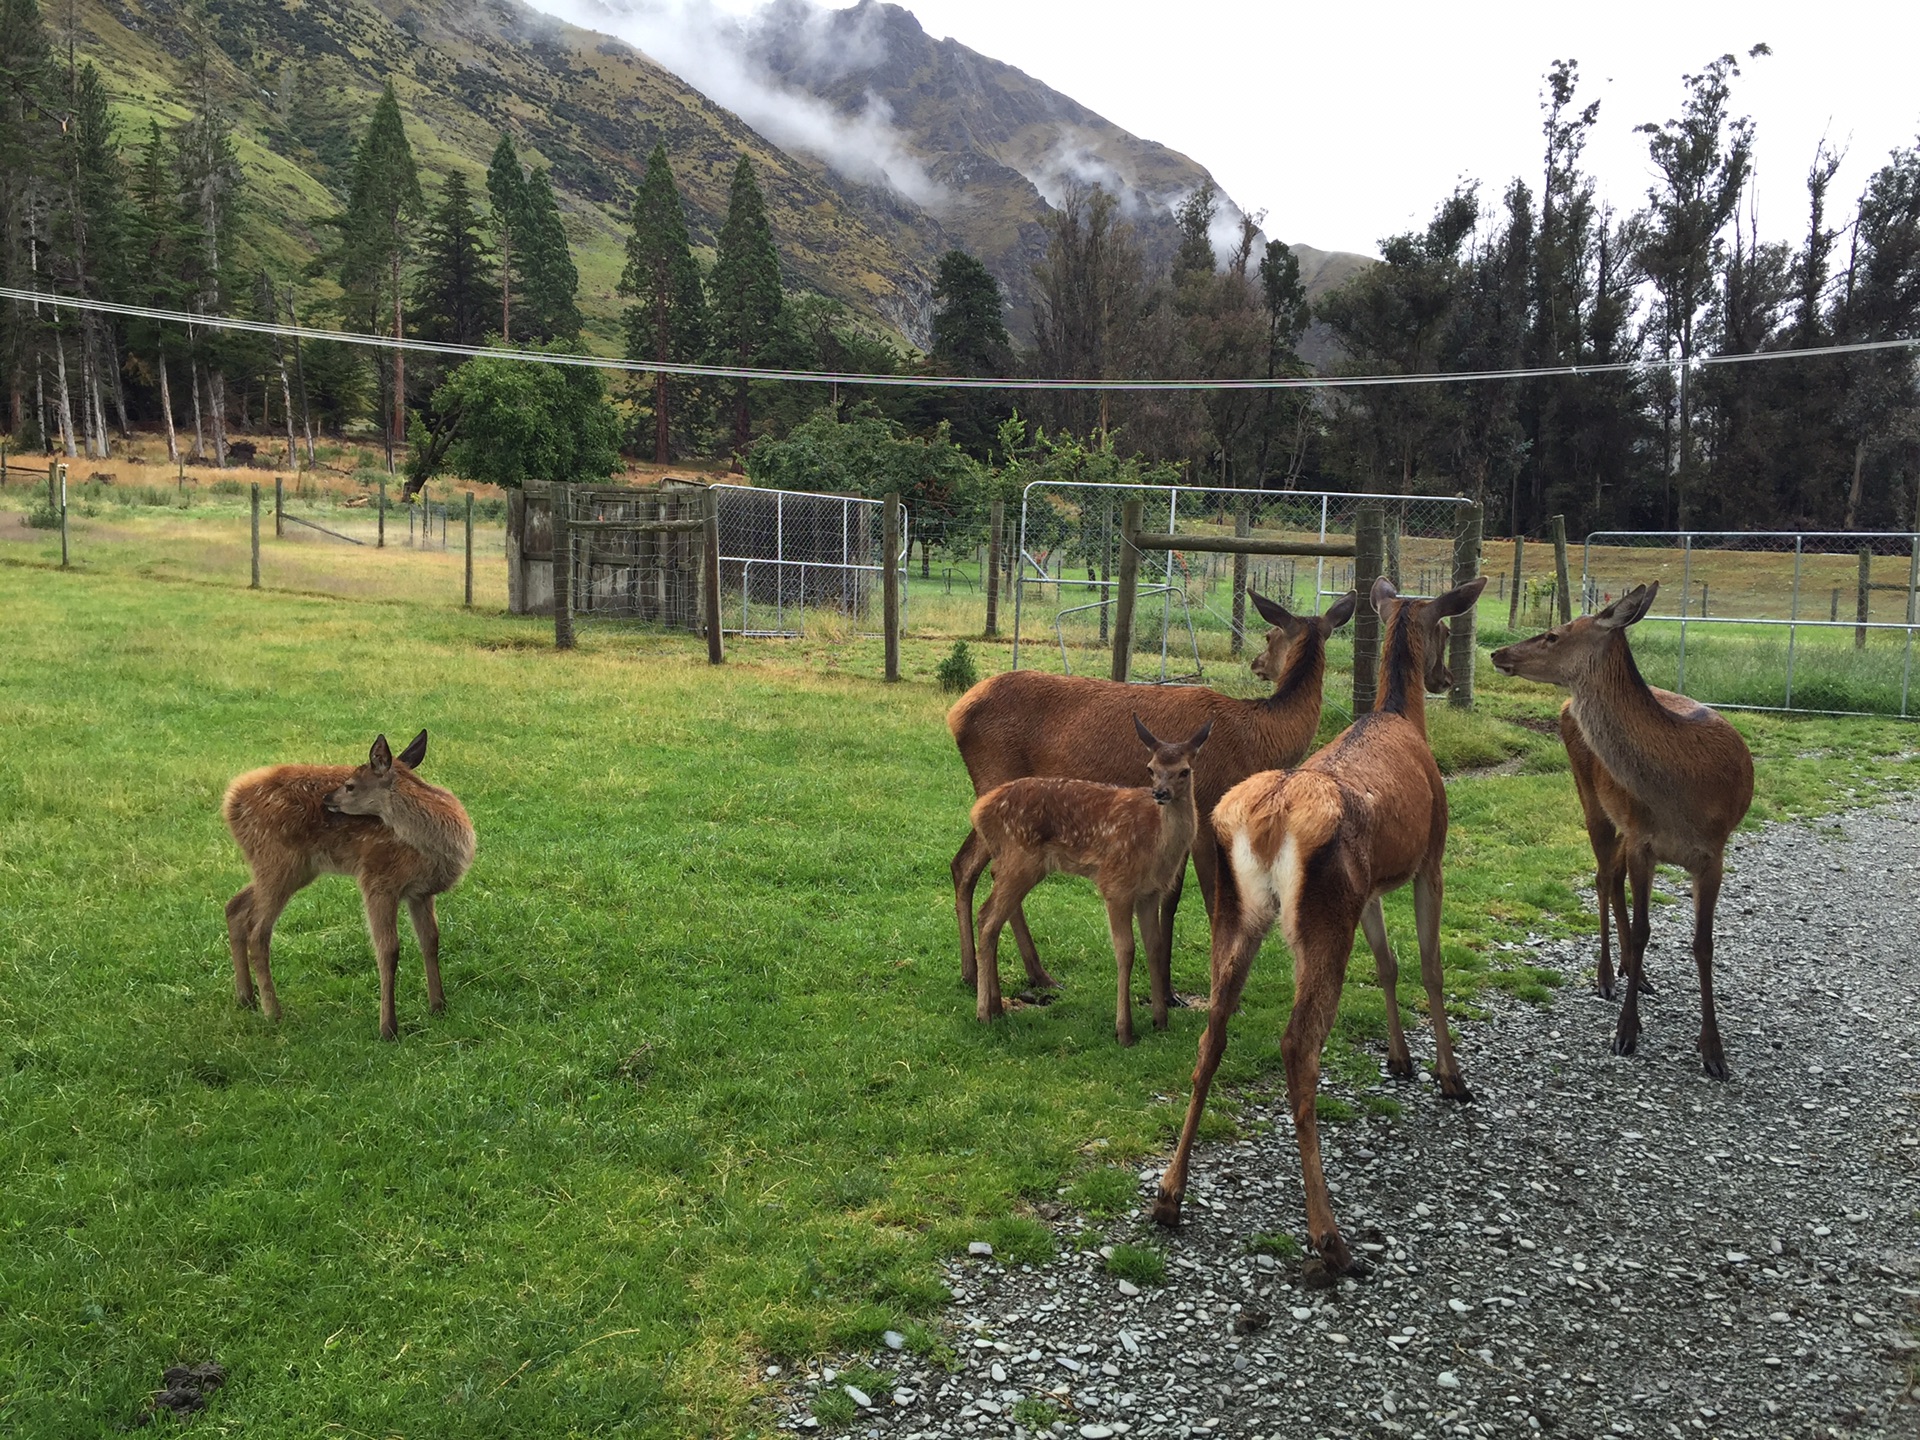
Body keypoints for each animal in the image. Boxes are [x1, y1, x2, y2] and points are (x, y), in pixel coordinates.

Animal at [223, 737, 476, 1044]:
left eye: (350, 785)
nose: (327, 800)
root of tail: (230, 800)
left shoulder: (420, 892)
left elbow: (430, 941)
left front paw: (438, 1006)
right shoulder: (377, 879)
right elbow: (388, 950)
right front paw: (388, 1028)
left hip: (289, 868)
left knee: (235, 906)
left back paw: (246, 998)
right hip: (278, 861)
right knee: (258, 931)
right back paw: (273, 1011)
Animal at [975, 721, 1213, 1052]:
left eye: (1184, 771)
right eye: (1151, 768)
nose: (1160, 793)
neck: (1156, 846)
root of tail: (978, 811)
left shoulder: (1150, 893)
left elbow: (1154, 946)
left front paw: (1161, 1020)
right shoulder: (1116, 884)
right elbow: (1126, 950)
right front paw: (1124, 1031)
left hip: (1015, 864)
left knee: (990, 917)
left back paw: (996, 1008)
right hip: (1019, 861)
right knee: (987, 919)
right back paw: (983, 1013)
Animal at [1144, 576, 1489, 1274]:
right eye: (1446, 627)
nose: (1444, 677)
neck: (1401, 716)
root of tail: (1271, 817)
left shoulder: (1374, 885)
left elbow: (1387, 962)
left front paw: (1401, 1059)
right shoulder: (1429, 857)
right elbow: (1430, 965)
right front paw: (1450, 1076)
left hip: (1238, 912)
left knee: (1213, 1032)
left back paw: (1169, 1196)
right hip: (1324, 916)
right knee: (1297, 1045)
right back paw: (1329, 1235)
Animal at [1482, 579, 1758, 1075]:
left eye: (1553, 634)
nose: (1498, 652)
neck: (1682, 796)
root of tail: (1566, 704)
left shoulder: (1714, 852)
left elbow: (1703, 942)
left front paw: (1713, 1051)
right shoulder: (1642, 839)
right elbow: (1646, 927)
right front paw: (1627, 1031)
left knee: (1612, 880)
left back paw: (1635, 972)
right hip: (1591, 798)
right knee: (1602, 876)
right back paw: (1609, 975)